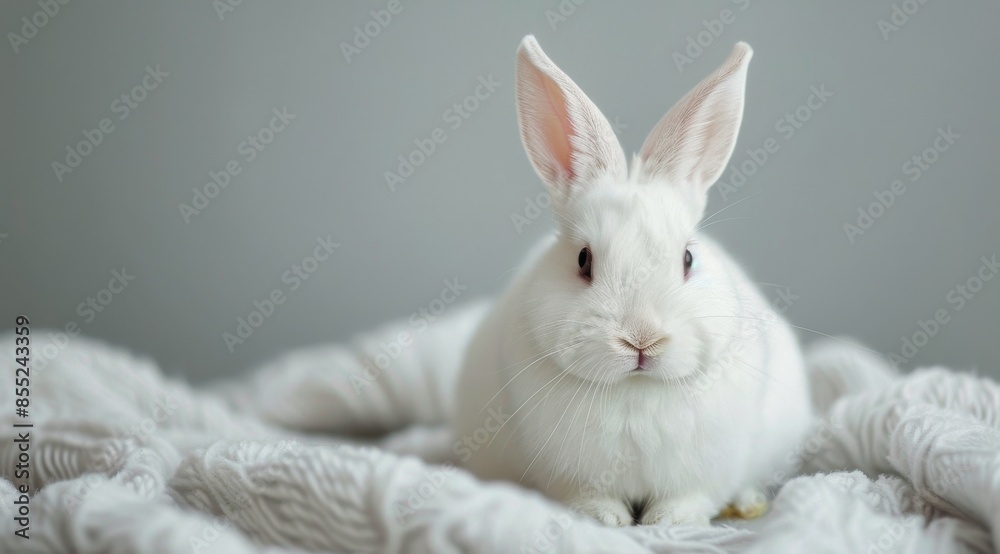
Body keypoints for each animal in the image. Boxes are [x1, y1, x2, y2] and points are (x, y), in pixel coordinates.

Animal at [452, 35, 814, 527]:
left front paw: (669, 521)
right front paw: (607, 519)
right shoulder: (568, 475)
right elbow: (589, 497)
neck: (636, 390)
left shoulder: (708, 473)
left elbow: (692, 497)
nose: (641, 340)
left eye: (688, 257)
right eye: (583, 259)